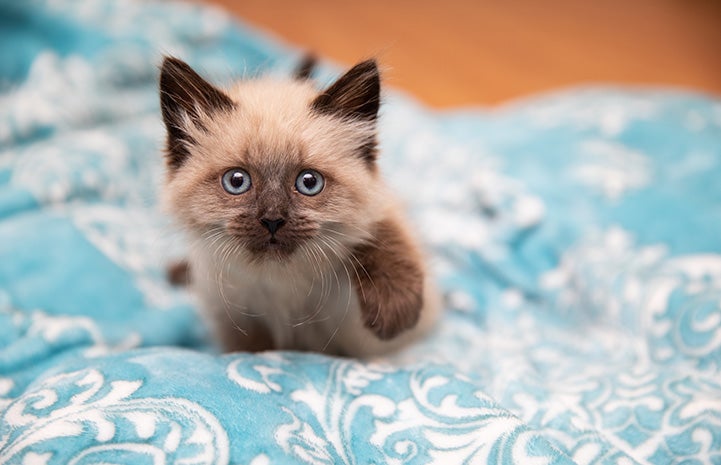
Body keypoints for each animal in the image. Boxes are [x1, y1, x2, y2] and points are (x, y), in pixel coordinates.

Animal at [158, 56, 438, 358]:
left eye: (309, 182)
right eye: (237, 181)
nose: (272, 219)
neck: (280, 281)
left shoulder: (379, 206)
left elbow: (382, 233)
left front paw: (393, 316)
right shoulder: (233, 315)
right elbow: (251, 350)